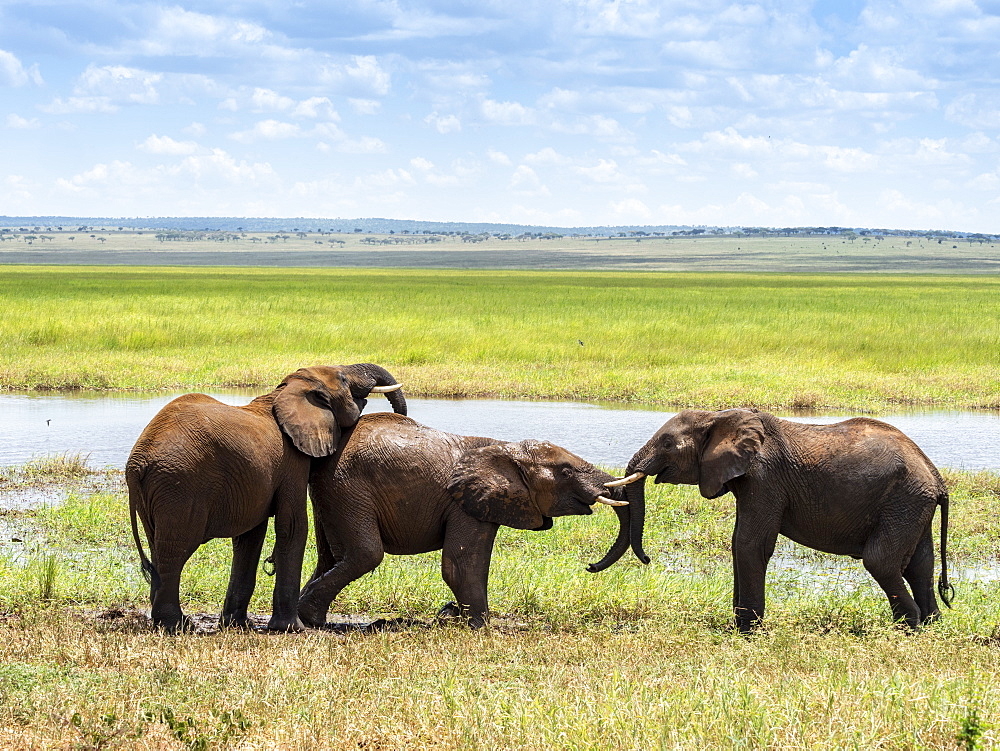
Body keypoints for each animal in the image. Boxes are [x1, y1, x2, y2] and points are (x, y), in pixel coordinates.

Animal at [126, 362, 406, 632]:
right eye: (344, 379)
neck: (284, 391)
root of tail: (136, 463)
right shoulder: (292, 460)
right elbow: (293, 526)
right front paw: (292, 628)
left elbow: (250, 536)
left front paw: (238, 625)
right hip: (180, 486)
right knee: (175, 551)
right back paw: (177, 626)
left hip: (159, 493)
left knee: (158, 548)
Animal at [292, 412, 628, 628]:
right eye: (566, 472)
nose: (591, 566)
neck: (506, 448)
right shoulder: (463, 504)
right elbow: (460, 565)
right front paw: (481, 626)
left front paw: (460, 617)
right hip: (347, 488)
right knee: (365, 554)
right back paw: (310, 619)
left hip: (333, 494)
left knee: (331, 557)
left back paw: (306, 615)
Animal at [592, 408, 952, 632]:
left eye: (668, 443)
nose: (646, 558)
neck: (720, 417)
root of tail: (934, 475)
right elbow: (739, 542)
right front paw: (740, 624)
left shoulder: (765, 478)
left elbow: (750, 543)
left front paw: (747, 631)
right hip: (911, 503)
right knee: (920, 564)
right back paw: (931, 625)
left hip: (903, 499)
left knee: (881, 561)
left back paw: (909, 627)